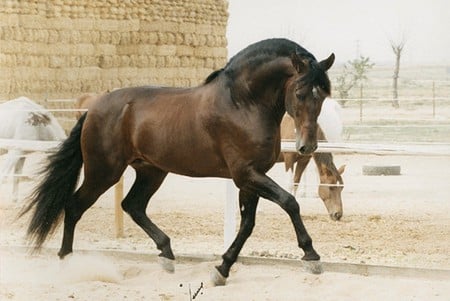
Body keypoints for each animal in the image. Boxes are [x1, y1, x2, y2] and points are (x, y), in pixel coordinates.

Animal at [21, 38, 336, 284]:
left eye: (323, 96)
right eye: (299, 93)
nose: (307, 146)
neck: (243, 103)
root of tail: (93, 108)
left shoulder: (251, 178)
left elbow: (247, 224)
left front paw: (222, 269)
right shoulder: (246, 175)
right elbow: (289, 202)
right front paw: (312, 256)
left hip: (151, 171)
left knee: (132, 205)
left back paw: (167, 254)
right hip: (104, 172)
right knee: (75, 206)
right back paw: (67, 263)